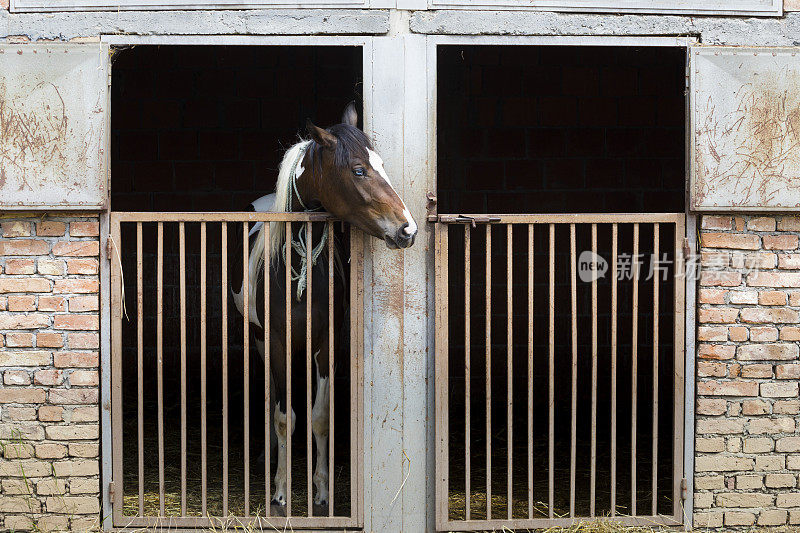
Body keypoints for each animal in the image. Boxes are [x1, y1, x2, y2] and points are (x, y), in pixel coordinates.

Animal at [233, 101, 416, 512]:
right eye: (359, 170)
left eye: (381, 164)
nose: (407, 230)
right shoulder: (277, 342)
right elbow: (285, 417)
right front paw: (280, 491)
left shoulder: (327, 343)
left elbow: (319, 416)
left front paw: (321, 490)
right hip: (258, 339)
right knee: (270, 395)